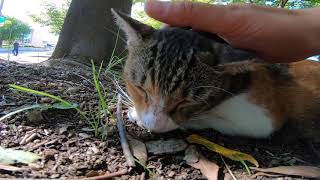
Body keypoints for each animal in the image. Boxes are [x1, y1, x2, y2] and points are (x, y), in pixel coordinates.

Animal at [112, 9, 320, 142]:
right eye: (140, 89)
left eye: (186, 102)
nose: (154, 126)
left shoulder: (262, 117)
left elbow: (204, 119)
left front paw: (137, 115)